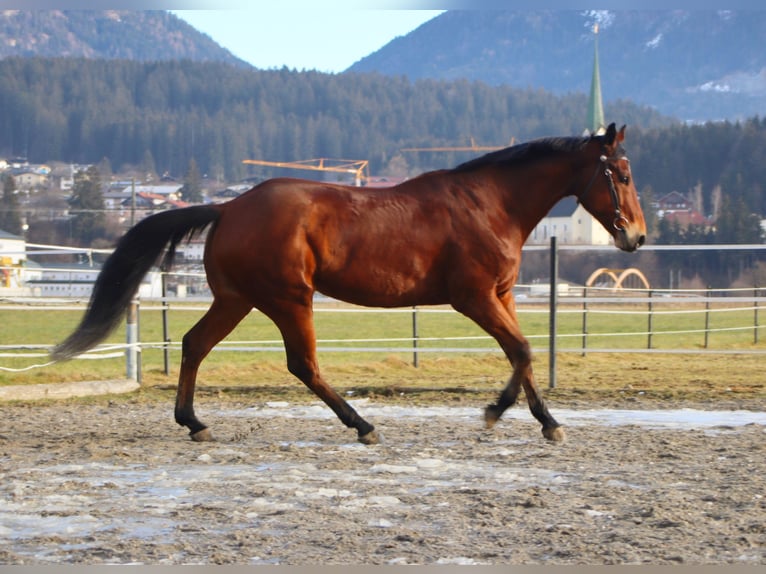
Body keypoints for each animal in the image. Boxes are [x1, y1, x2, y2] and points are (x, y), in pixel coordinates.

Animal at [51, 124, 644, 448]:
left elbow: (523, 357)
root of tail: (229, 206)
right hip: (290, 299)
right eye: (622, 173)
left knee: (196, 344)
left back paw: (194, 423)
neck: (489, 204)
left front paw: (546, 422)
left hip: (238, 299)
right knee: (303, 365)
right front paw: (497, 413)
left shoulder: (500, 296)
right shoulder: (474, 298)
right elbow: (521, 351)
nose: (635, 236)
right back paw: (362, 425)